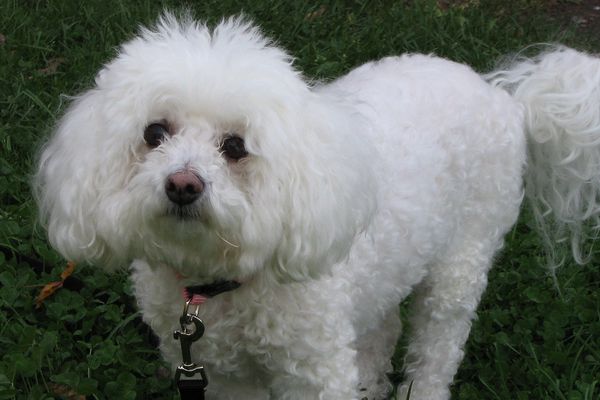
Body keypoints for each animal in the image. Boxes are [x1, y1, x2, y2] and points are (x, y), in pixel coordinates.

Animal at [35, 14, 600, 400]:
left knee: (438, 345)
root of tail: (503, 96)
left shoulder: (313, 369)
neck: (221, 279)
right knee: (383, 328)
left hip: (462, 261)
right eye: (154, 133)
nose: (182, 185)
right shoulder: (223, 374)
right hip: (391, 265)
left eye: (235, 146)